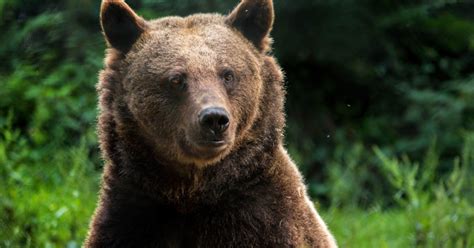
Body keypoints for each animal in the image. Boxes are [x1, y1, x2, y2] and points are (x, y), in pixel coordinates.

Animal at [85, 0, 336, 246]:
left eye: (228, 74)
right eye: (176, 79)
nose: (214, 118)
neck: (194, 191)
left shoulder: (268, 220)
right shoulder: (131, 215)